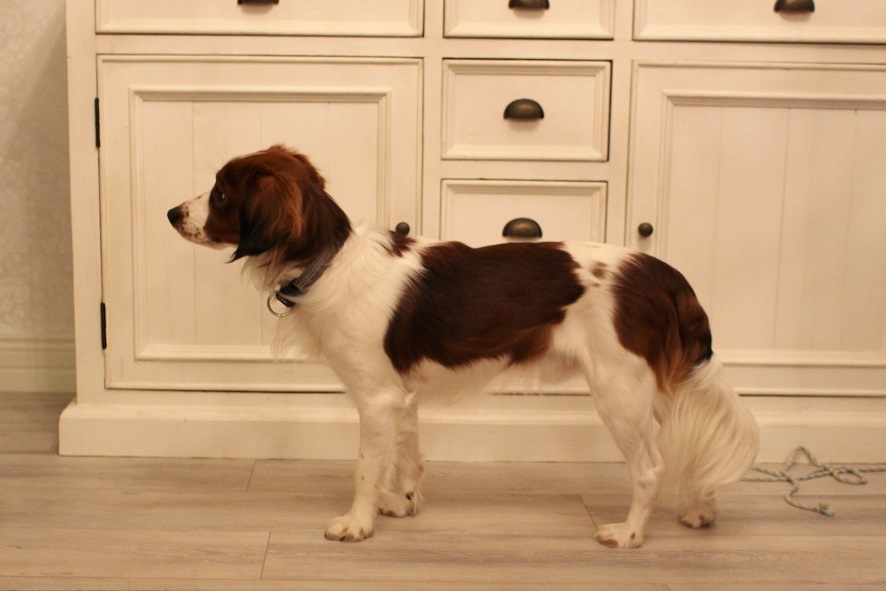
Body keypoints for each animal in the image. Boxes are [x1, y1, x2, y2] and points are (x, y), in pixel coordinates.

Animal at [167, 145, 758, 548]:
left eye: (221, 193)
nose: (173, 213)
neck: (331, 261)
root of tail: (661, 273)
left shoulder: (376, 397)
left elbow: (365, 466)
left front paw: (357, 523)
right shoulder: (401, 395)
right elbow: (407, 459)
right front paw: (402, 505)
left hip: (619, 391)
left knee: (651, 467)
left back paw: (628, 534)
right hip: (652, 388)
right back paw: (700, 509)